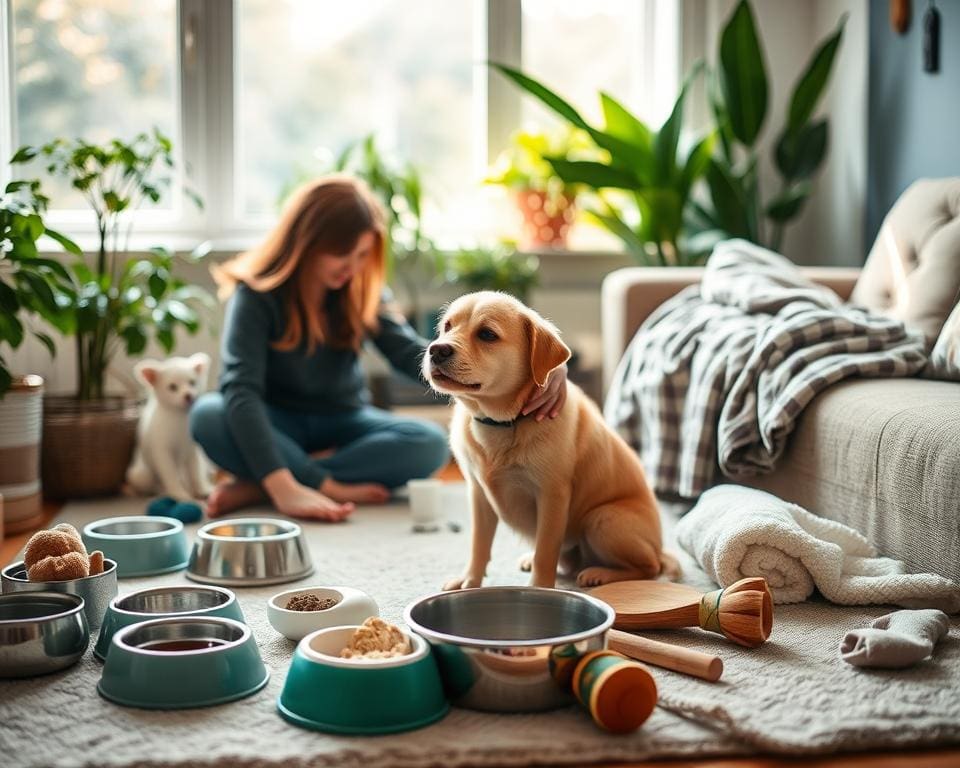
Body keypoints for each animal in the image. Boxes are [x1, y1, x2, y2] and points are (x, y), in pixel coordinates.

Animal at [125, 352, 214, 500]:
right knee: (151, 485)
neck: (180, 417)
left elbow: (195, 472)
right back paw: (154, 491)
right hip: (141, 474)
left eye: (192, 383)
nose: (188, 396)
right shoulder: (162, 451)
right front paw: (179, 493)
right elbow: (170, 475)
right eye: (172, 387)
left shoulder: (193, 450)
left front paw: (202, 490)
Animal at [424, 292, 680, 588]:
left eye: (487, 334)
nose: (436, 350)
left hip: (603, 519)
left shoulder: (552, 495)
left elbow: (546, 552)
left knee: (649, 567)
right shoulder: (478, 494)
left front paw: (540, 588)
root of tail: (660, 548)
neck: (503, 423)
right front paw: (470, 579)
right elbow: (479, 545)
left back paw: (600, 574)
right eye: (447, 327)